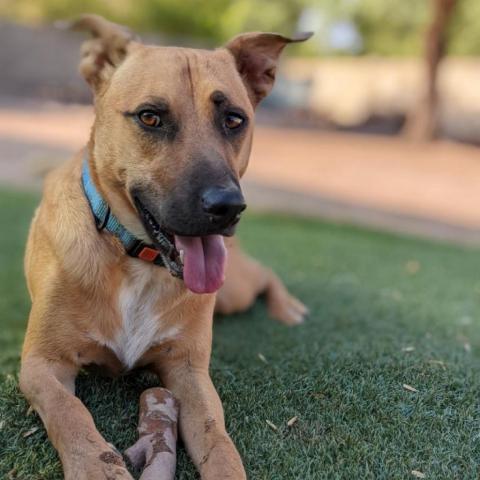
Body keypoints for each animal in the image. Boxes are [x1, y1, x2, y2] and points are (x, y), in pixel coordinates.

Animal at [18, 15, 310, 480]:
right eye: (150, 117)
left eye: (234, 120)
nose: (228, 207)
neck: (136, 261)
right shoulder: (41, 364)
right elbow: (70, 413)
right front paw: (98, 467)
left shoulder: (189, 371)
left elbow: (218, 440)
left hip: (232, 290)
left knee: (263, 272)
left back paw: (287, 308)